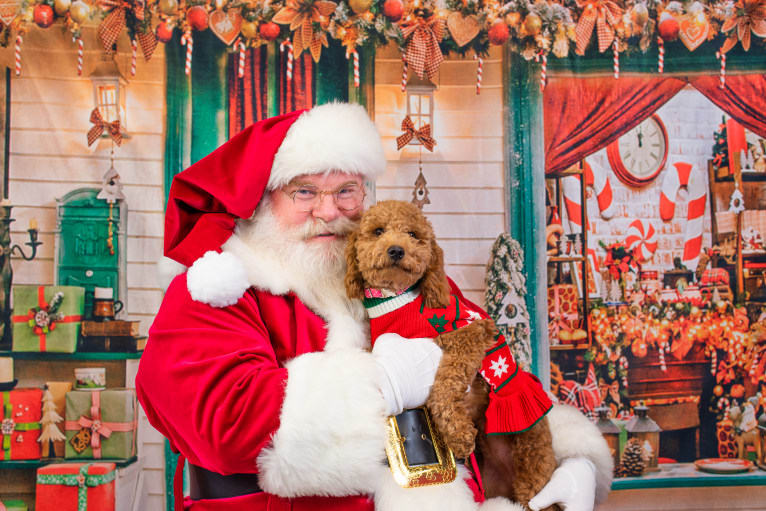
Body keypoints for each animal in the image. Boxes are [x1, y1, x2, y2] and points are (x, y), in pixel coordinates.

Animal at [346, 201, 560, 511]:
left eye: (413, 234)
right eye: (377, 231)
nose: (396, 250)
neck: (397, 300)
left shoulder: (470, 332)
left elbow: (444, 387)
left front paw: (457, 434)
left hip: (533, 461)